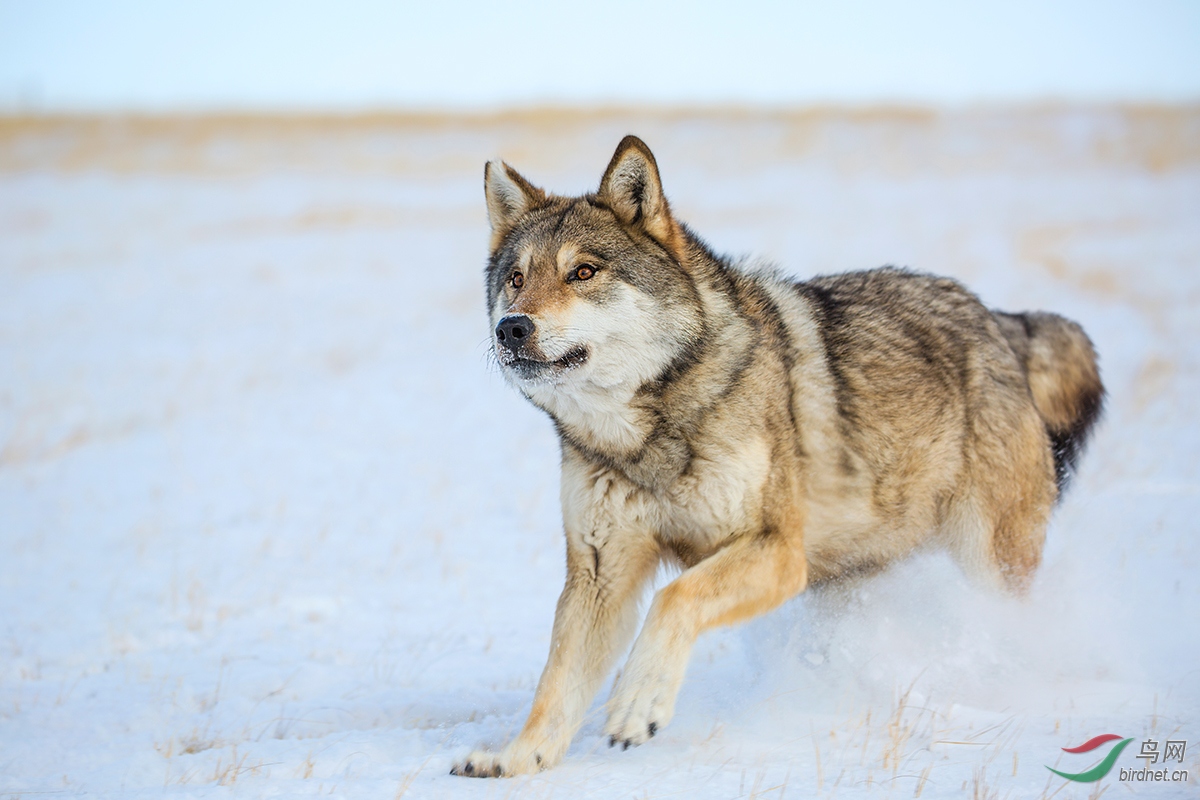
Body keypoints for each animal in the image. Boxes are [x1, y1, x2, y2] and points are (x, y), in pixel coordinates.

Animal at [451, 136, 1104, 777]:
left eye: (582, 272)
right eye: (516, 278)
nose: (512, 328)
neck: (644, 434)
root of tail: (1000, 320)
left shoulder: (779, 552)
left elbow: (674, 598)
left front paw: (638, 704)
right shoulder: (599, 575)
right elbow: (556, 684)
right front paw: (516, 759)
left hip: (987, 566)